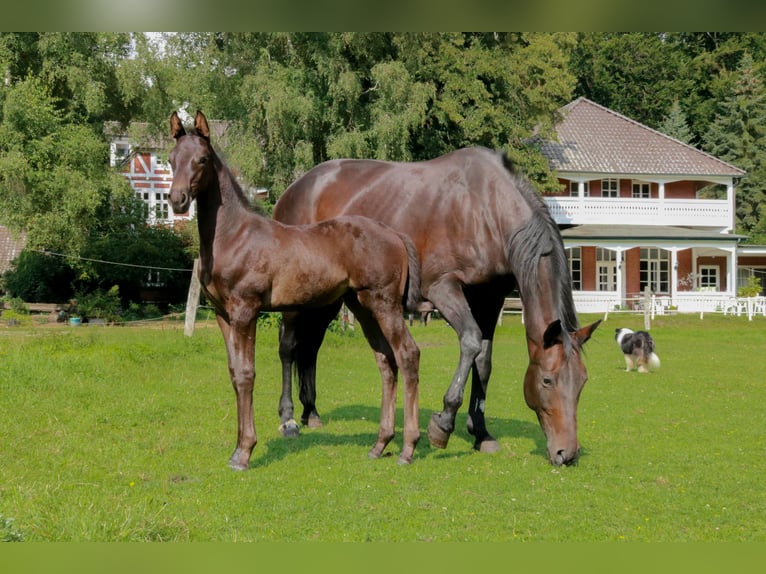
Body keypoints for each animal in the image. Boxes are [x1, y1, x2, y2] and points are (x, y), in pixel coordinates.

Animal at [166, 110, 426, 470]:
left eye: (202, 159)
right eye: (170, 159)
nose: (176, 200)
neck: (234, 235)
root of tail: (396, 235)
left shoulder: (245, 310)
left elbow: (246, 374)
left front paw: (244, 451)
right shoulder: (222, 314)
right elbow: (234, 373)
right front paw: (237, 447)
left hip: (384, 303)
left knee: (408, 354)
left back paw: (408, 447)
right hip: (362, 306)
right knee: (386, 361)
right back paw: (380, 443)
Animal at [272, 148, 604, 468]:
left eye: (582, 382)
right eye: (547, 380)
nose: (567, 454)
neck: (486, 210)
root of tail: (297, 186)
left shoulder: (488, 297)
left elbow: (483, 362)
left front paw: (481, 432)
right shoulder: (443, 289)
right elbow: (470, 342)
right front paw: (443, 423)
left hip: (327, 299)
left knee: (311, 348)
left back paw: (311, 412)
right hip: (296, 299)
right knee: (289, 348)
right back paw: (289, 418)